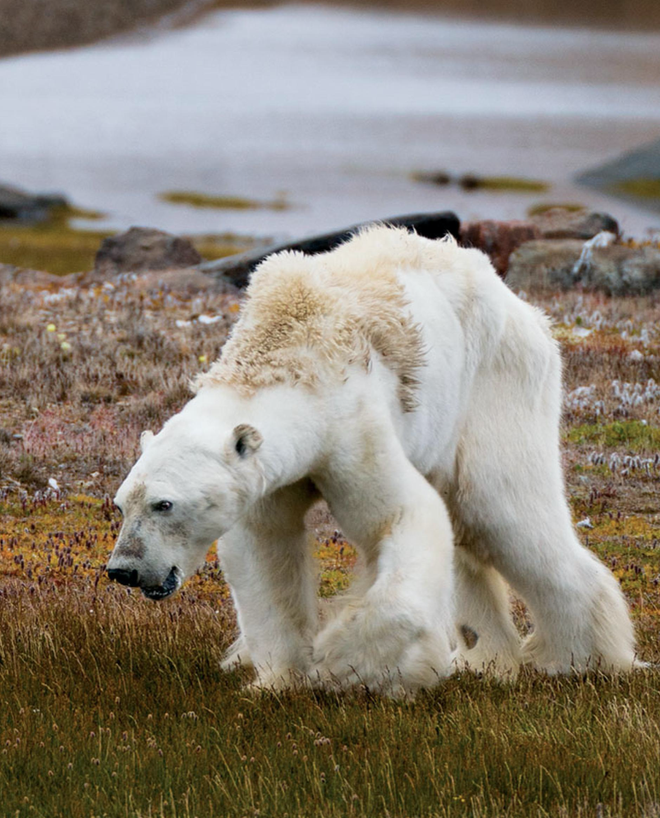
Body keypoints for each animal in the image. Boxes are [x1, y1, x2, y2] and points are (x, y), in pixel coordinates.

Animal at [108, 226, 640, 692]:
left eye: (164, 504)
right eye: (121, 503)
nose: (123, 570)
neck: (287, 352)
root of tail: (524, 308)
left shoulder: (351, 426)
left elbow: (402, 516)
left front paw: (347, 663)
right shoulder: (268, 475)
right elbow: (265, 549)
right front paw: (278, 680)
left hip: (495, 384)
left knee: (503, 512)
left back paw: (580, 658)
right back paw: (487, 658)